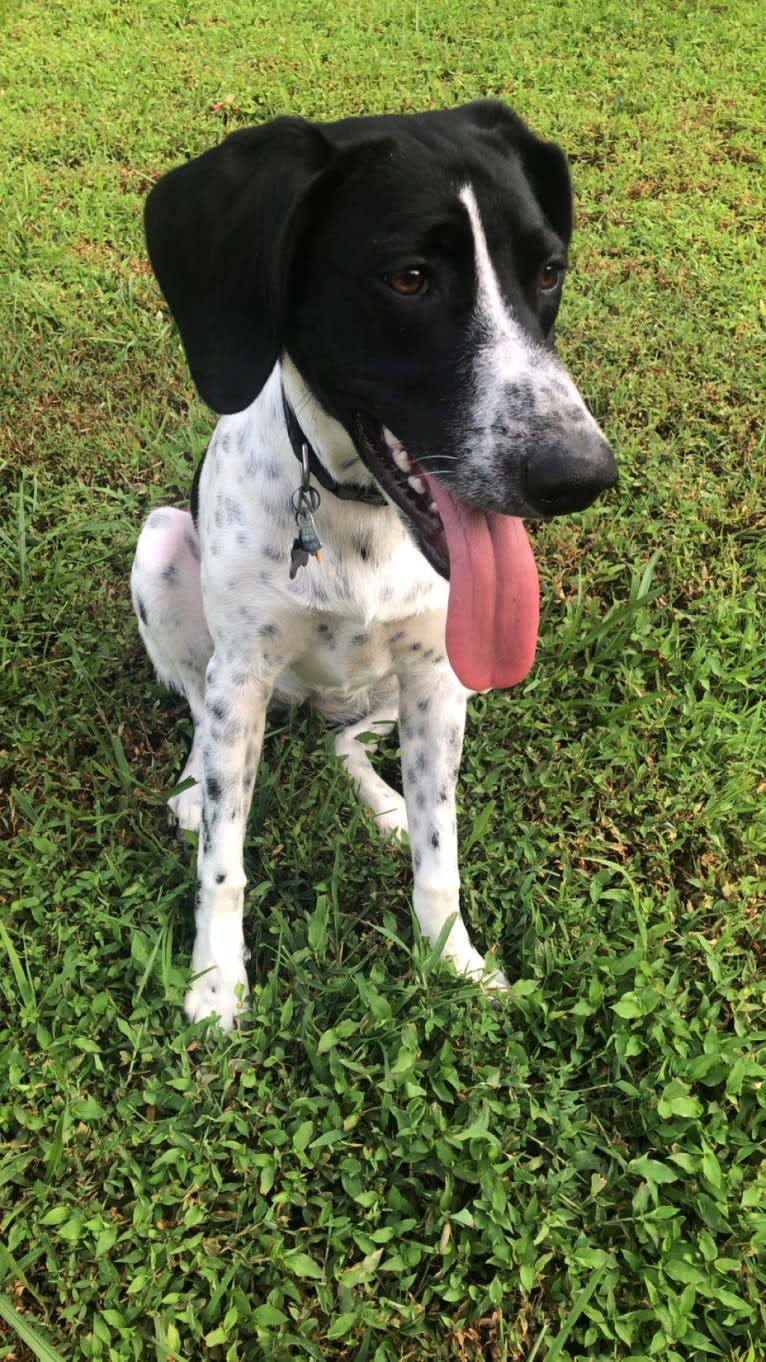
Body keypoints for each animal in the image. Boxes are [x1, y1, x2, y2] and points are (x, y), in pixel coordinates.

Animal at [130, 103, 613, 1024]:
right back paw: (194, 784)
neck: (354, 508)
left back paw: (382, 801)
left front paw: (453, 959)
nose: (582, 477)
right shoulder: (241, 671)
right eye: (409, 278)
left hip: (429, 689)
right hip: (161, 546)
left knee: (346, 743)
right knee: (203, 718)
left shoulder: (438, 678)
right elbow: (223, 861)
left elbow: (440, 854)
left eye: (548, 272)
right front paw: (215, 986)